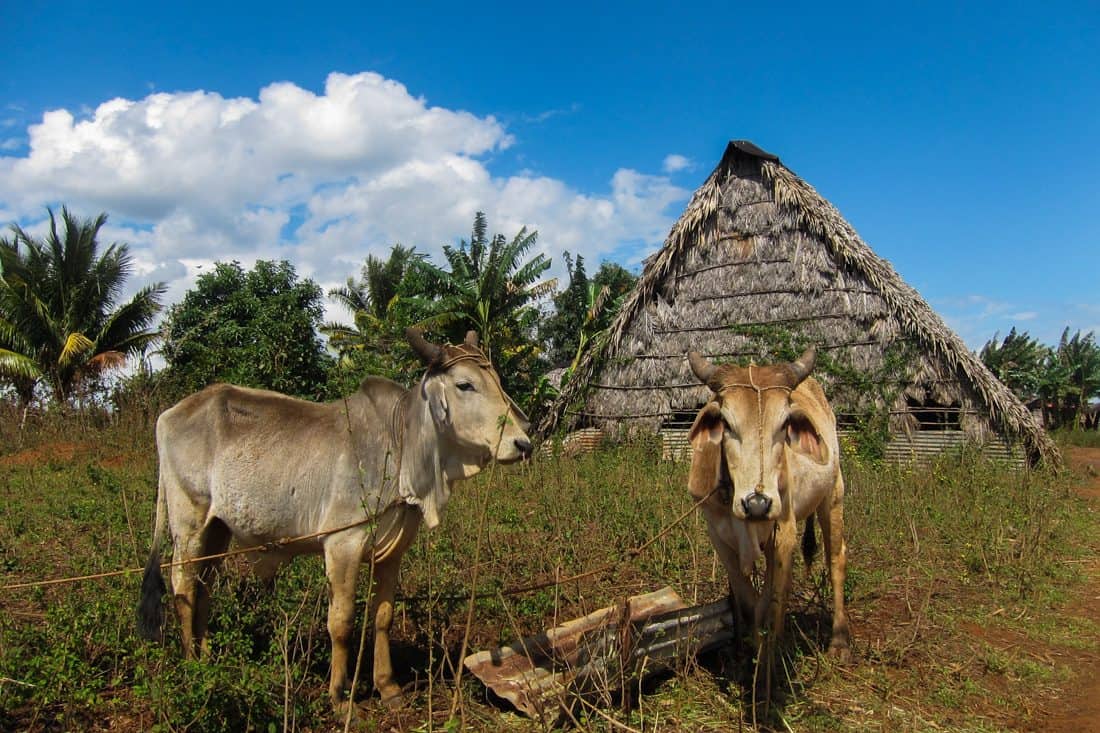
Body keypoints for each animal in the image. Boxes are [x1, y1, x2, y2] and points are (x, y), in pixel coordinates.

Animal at [137, 330, 532, 704]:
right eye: (465, 384)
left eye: (496, 379)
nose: (523, 443)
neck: (400, 445)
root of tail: (168, 414)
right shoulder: (343, 544)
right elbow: (341, 622)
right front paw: (340, 696)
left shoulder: (393, 551)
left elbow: (383, 616)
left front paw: (388, 688)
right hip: (189, 520)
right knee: (183, 586)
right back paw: (193, 665)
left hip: (217, 529)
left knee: (204, 586)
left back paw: (208, 658)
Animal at [686, 345, 849, 660]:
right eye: (726, 423)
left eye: (785, 423)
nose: (757, 504)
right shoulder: (718, 536)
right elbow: (749, 600)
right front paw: (748, 649)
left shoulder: (783, 530)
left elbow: (770, 600)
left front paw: (767, 655)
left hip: (832, 496)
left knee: (836, 559)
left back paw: (839, 639)